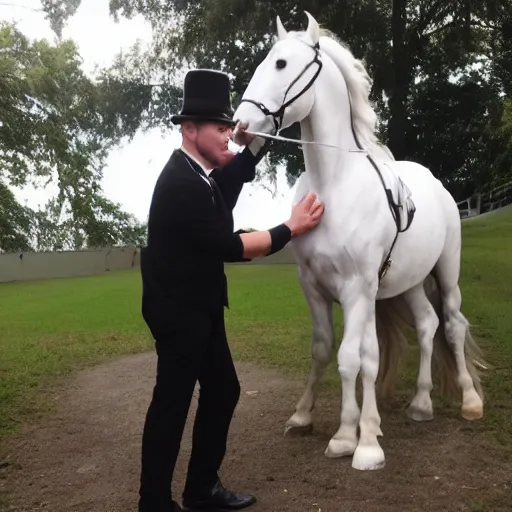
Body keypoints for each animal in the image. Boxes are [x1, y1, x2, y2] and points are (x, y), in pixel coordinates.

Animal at [234, 12, 486, 470]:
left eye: (281, 64)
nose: (241, 126)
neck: (333, 186)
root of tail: (437, 185)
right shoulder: (314, 287)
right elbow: (325, 351)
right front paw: (306, 417)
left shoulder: (356, 289)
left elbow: (354, 358)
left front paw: (355, 440)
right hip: (407, 285)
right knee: (428, 326)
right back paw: (421, 404)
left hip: (446, 272)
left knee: (453, 325)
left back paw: (470, 401)